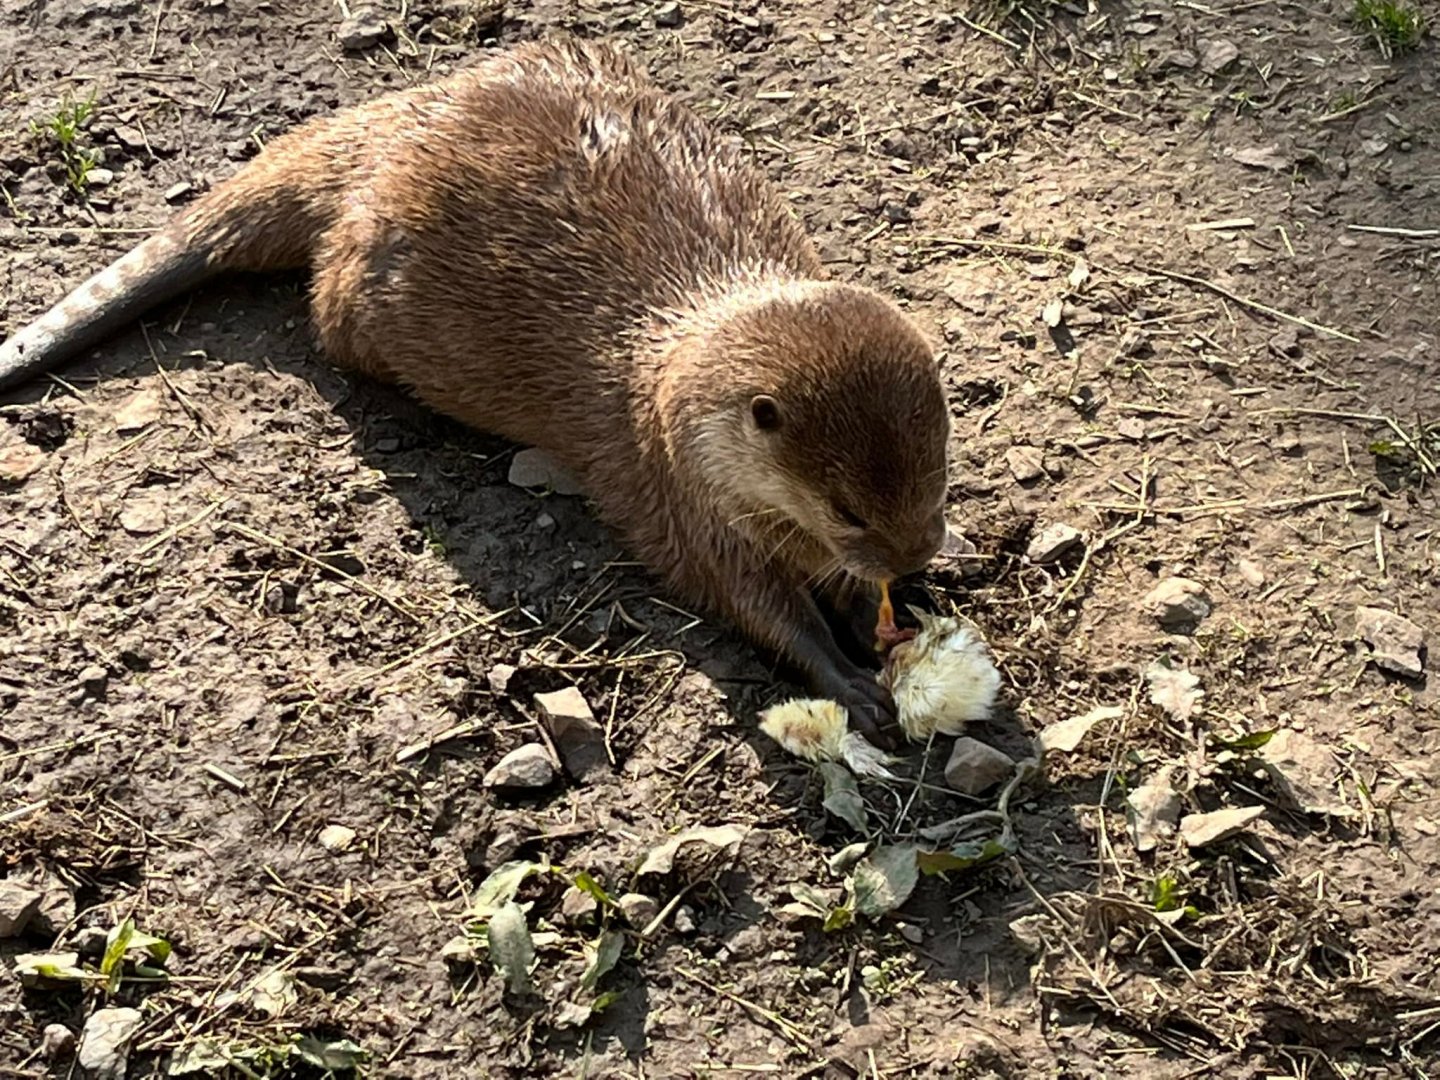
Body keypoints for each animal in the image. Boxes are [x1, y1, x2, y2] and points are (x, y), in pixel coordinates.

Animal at [0, 38, 952, 743]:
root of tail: (398, 126)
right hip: (359, 292)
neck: (673, 389)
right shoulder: (682, 498)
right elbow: (755, 608)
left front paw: (893, 611)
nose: (914, 557)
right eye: (848, 510)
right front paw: (848, 681)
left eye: (938, 487)